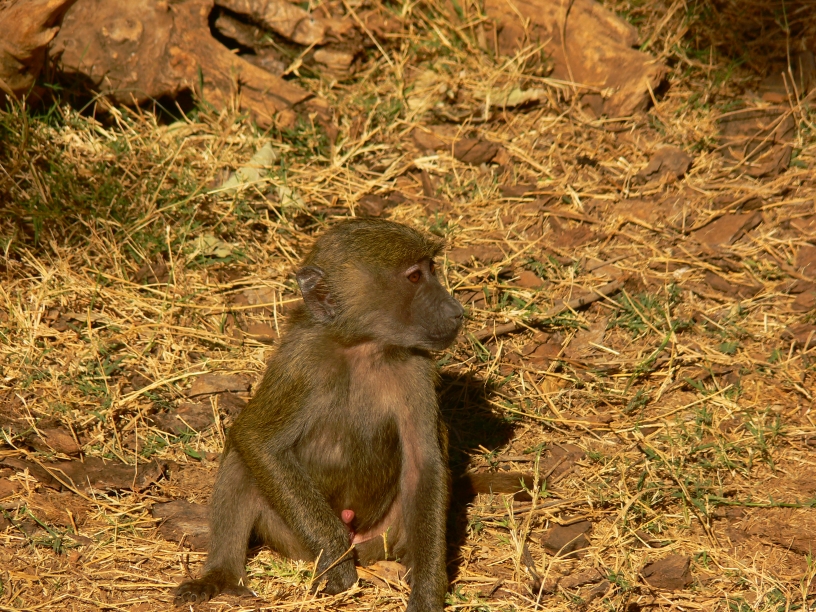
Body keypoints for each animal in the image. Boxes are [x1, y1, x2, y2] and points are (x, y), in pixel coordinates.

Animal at [174, 218, 465, 611]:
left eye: (431, 269)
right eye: (415, 277)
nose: (456, 311)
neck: (363, 347)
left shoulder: (417, 370)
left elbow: (424, 466)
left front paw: (427, 591)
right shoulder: (302, 363)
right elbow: (256, 440)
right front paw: (337, 564)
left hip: (383, 535)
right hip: (288, 536)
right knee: (239, 459)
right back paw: (221, 576)